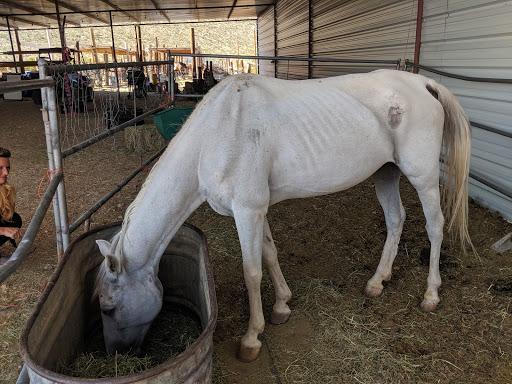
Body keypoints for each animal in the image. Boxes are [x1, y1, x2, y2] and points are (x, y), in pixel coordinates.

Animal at [95, 70, 472, 362]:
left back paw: (431, 295)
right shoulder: (256, 210)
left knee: (435, 227)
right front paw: (282, 306)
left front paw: (252, 338)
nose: (116, 355)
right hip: (386, 173)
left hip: (422, 177)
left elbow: (251, 272)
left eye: (108, 307)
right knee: (395, 220)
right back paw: (377, 282)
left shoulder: (247, 210)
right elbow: (269, 254)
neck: (215, 135)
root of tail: (424, 84)